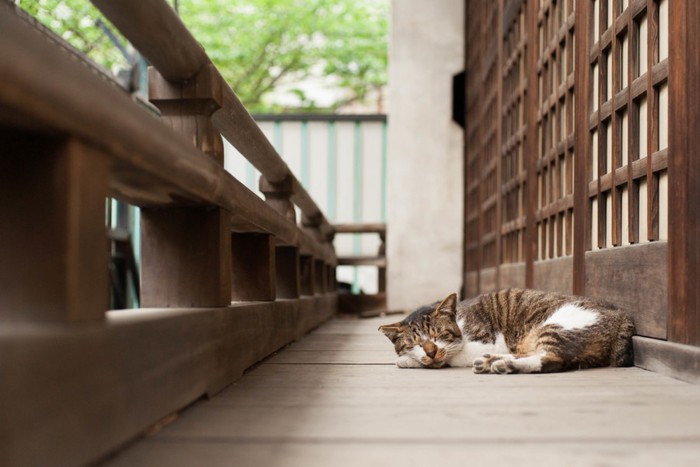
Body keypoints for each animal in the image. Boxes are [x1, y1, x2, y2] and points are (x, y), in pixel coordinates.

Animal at [380, 288, 636, 376]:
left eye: (438, 336)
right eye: (414, 343)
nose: (431, 351)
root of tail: (621, 315)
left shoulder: (487, 341)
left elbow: (451, 357)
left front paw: (407, 361)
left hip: (555, 327)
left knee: (551, 359)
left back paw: (505, 364)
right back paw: (490, 362)